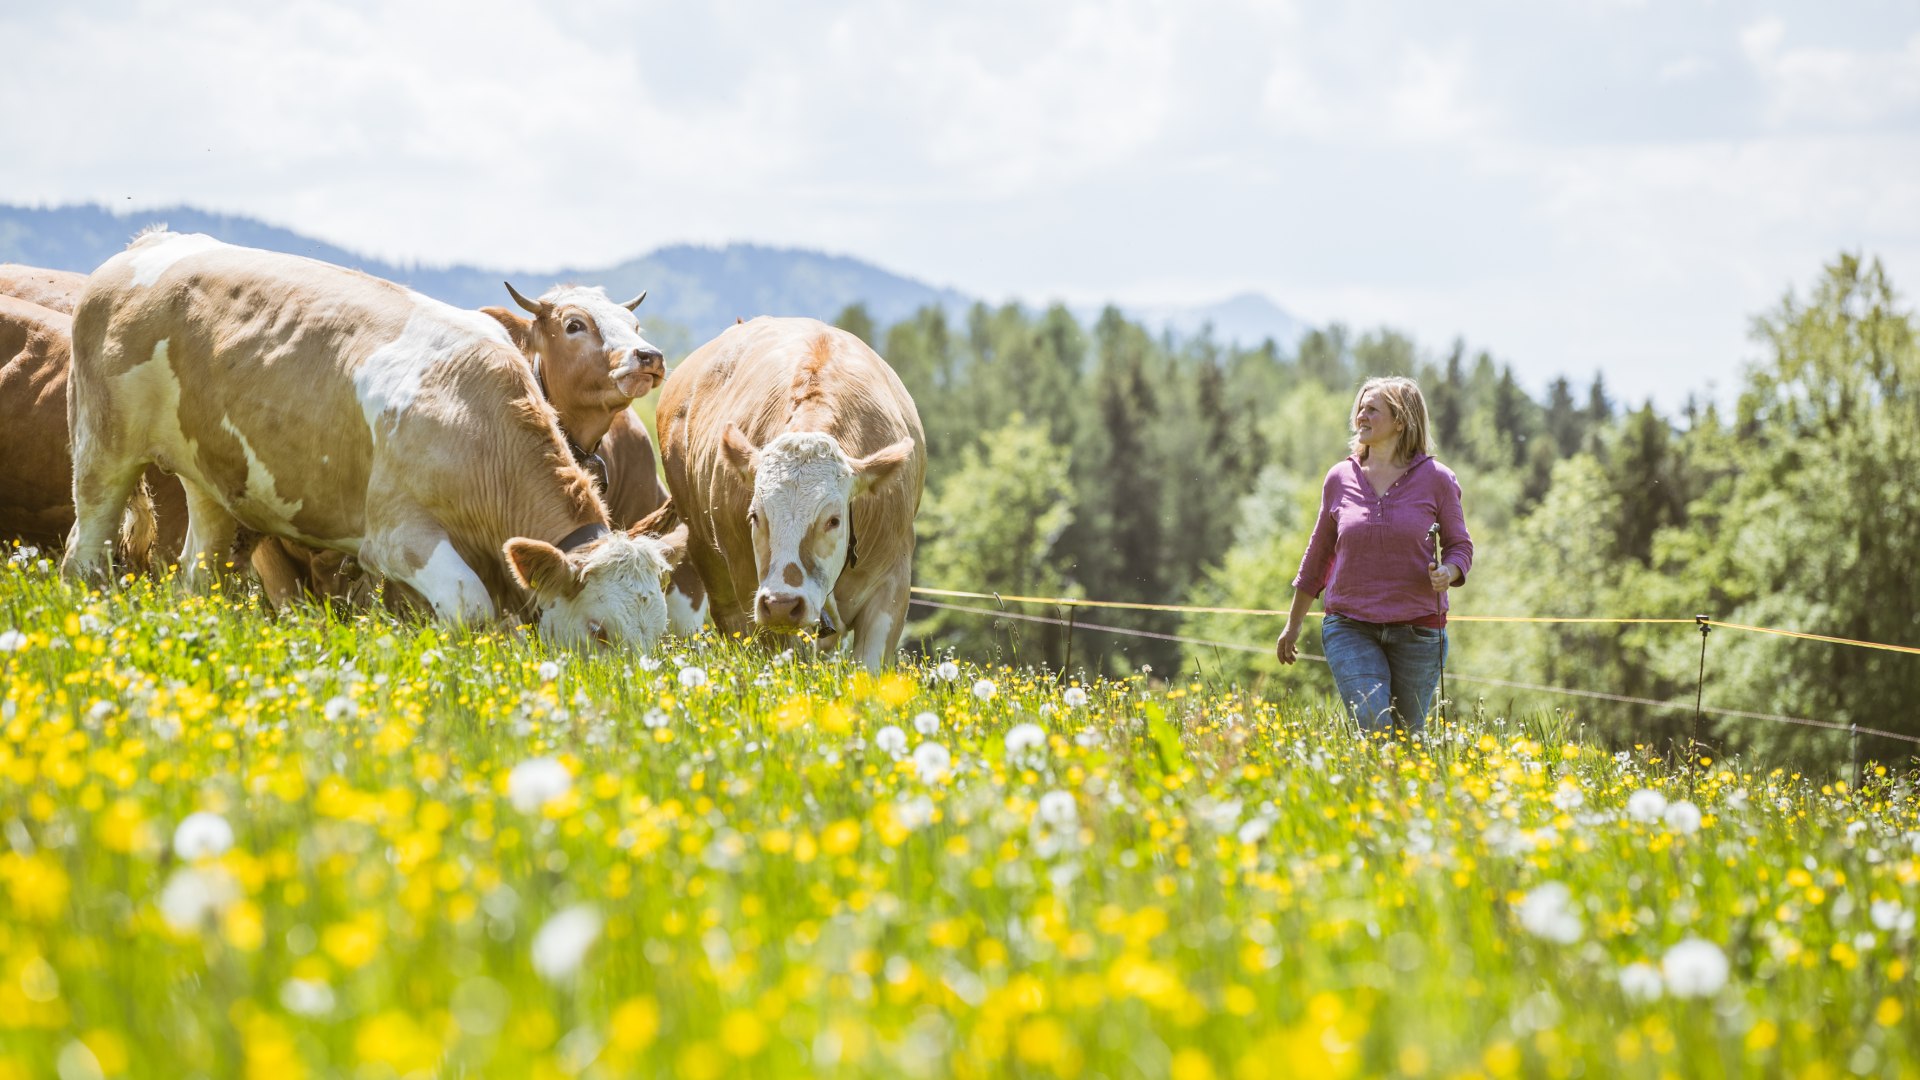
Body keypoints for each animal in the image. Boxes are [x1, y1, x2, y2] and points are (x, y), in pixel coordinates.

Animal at [63, 228, 687, 645]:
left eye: (658, 630)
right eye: (600, 631)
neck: (474, 415)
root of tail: (149, 244)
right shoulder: (397, 538)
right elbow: (469, 609)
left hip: (211, 482)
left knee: (196, 577)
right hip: (102, 447)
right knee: (82, 553)